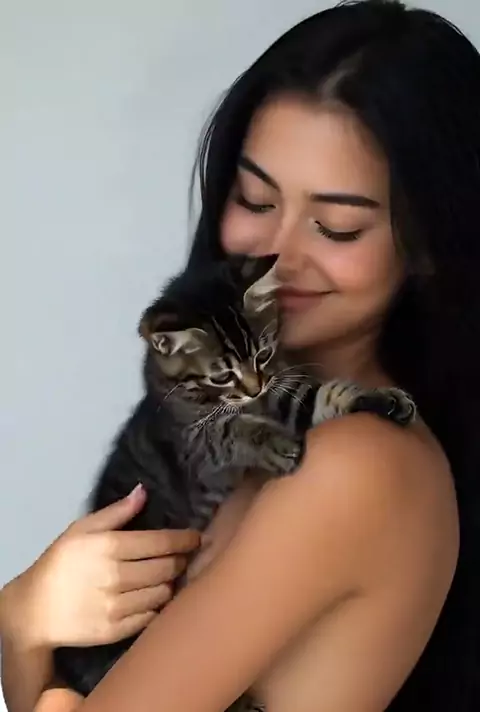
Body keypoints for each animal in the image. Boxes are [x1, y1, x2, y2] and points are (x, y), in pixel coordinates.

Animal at [53, 256, 416, 701]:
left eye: (262, 354)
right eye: (222, 376)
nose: (254, 386)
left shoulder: (283, 394)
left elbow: (327, 394)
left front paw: (382, 398)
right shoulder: (198, 444)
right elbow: (235, 430)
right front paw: (273, 443)